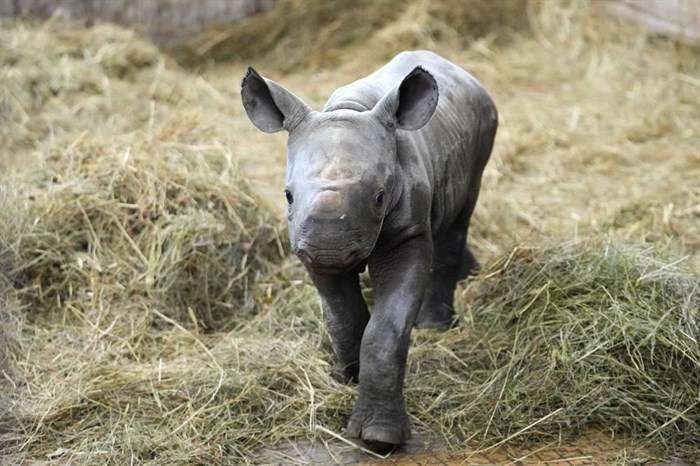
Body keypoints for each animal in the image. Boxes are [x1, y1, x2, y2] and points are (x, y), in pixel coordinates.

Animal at [241, 50, 498, 448]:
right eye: (287, 196)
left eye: (379, 197)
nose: (328, 250)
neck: (350, 109)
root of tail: (463, 74)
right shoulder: (303, 241)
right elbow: (342, 314)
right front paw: (346, 376)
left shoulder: (407, 235)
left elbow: (386, 329)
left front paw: (379, 438)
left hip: (483, 126)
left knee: (459, 217)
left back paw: (435, 327)